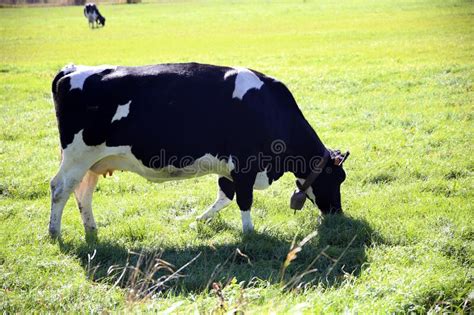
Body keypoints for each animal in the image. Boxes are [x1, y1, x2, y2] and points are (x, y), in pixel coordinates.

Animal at [50, 63, 350, 238]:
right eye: (337, 178)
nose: (337, 213)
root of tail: (71, 70)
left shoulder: (229, 168)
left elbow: (225, 196)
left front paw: (199, 220)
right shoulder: (245, 165)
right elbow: (244, 200)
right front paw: (250, 233)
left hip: (93, 162)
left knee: (83, 193)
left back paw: (91, 228)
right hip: (77, 156)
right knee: (60, 188)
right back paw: (54, 232)